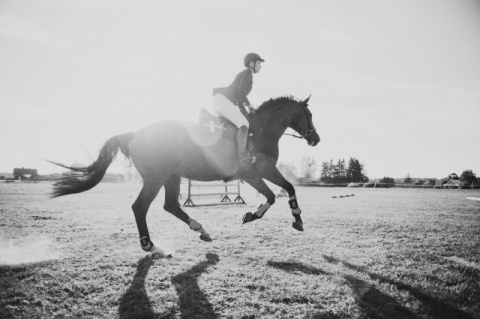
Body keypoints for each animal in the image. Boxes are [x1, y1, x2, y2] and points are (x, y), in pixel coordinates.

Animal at [49, 95, 318, 258]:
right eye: (310, 115)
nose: (316, 138)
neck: (261, 130)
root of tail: (136, 133)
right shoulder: (257, 172)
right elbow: (279, 193)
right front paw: (274, 217)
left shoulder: (261, 172)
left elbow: (282, 191)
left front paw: (285, 217)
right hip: (156, 178)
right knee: (140, 207)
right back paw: (151, 247)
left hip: (171, 176)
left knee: (170, 205)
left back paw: (201, 229)